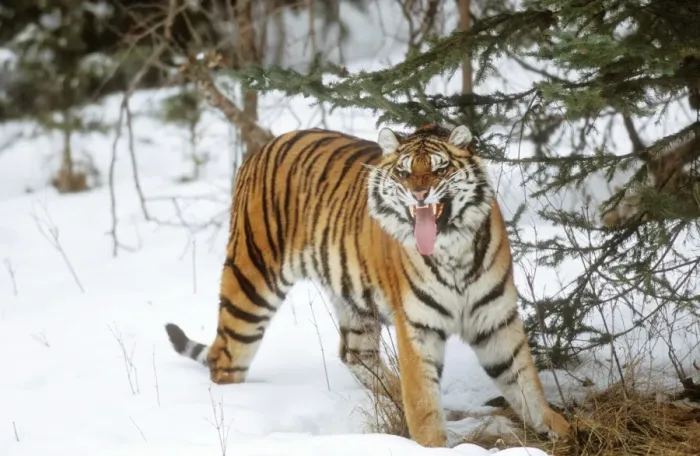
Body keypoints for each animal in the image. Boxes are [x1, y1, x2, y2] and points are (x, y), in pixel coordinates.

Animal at [164, 124, 570, 447]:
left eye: (440, 169)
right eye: (404, 172)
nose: (419, 195)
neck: (452, 251)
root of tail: (263, 148)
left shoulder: (495, 318)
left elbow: (525, 381)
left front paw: (560, 429)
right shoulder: (417, 327)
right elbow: (423, 402)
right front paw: (431, 445)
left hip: (352, 300)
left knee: (354, 354)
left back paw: (395, 394)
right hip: (252, 278)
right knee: (226, 356)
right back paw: (238, 409)